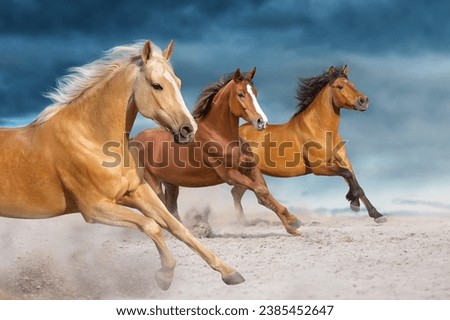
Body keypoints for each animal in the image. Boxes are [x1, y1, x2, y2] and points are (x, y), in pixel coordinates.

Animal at [0, 39, 246, 290]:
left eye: (178, 83)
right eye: (157, 85)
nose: (188, 130)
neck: (91, 138)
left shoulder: (136, 193)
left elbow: (177, 227)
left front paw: (230, 272)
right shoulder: (95, 208)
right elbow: (151, 226)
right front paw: (165, 275)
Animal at [134, 69, 302, 236]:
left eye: (255, 92)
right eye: (240, 94)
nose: (262, 122)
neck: (219, 136)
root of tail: (134, 140)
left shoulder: (249, 167)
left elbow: (263, 192)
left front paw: (292, 225)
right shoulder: (229, 175)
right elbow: (261, 190)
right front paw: (292, 220)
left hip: (171, 183)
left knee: (171, 206)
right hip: (153, 183)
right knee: (161, 207)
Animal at [232, 66, 386, 224]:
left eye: (353, 84)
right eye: (340, 86)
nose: (363, 101)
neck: (321, 130)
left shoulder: (343, 161)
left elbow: (355, 181)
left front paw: (376, 214)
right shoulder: (320, 168)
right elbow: (347, 175)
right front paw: (353, 202)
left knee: (239, 193)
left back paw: (245, 222)